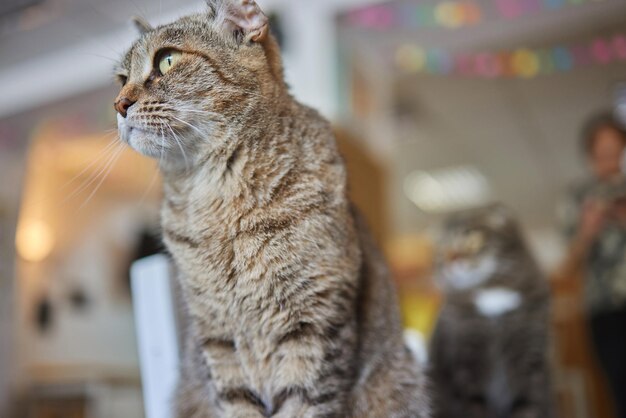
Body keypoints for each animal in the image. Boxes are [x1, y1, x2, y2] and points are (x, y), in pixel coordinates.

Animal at [112, 1, 426, 416]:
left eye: (166, 60)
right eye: (120, 79)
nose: (118, 104)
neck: (217, 197)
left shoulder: (315, 324)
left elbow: (303, 402)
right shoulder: (216, 337)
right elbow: (236, 401)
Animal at [428, 205, 552, 418]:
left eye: (472, 240)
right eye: (442, 252)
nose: (451, 260)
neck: (491, 294)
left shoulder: (529, 358)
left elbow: (528, 404)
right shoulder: (465, 359)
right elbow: (474, 404)